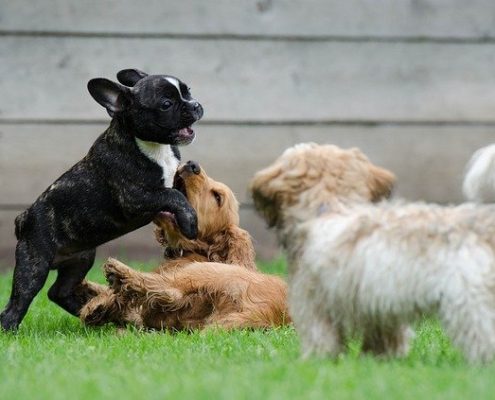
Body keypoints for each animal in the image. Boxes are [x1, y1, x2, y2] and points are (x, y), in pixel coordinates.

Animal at [252, 143, 495, 362]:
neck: (330, 207)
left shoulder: (315, 304)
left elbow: (320, 338)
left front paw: (316, 361)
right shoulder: (380, 309)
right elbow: (385, 339)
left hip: (470, 302)